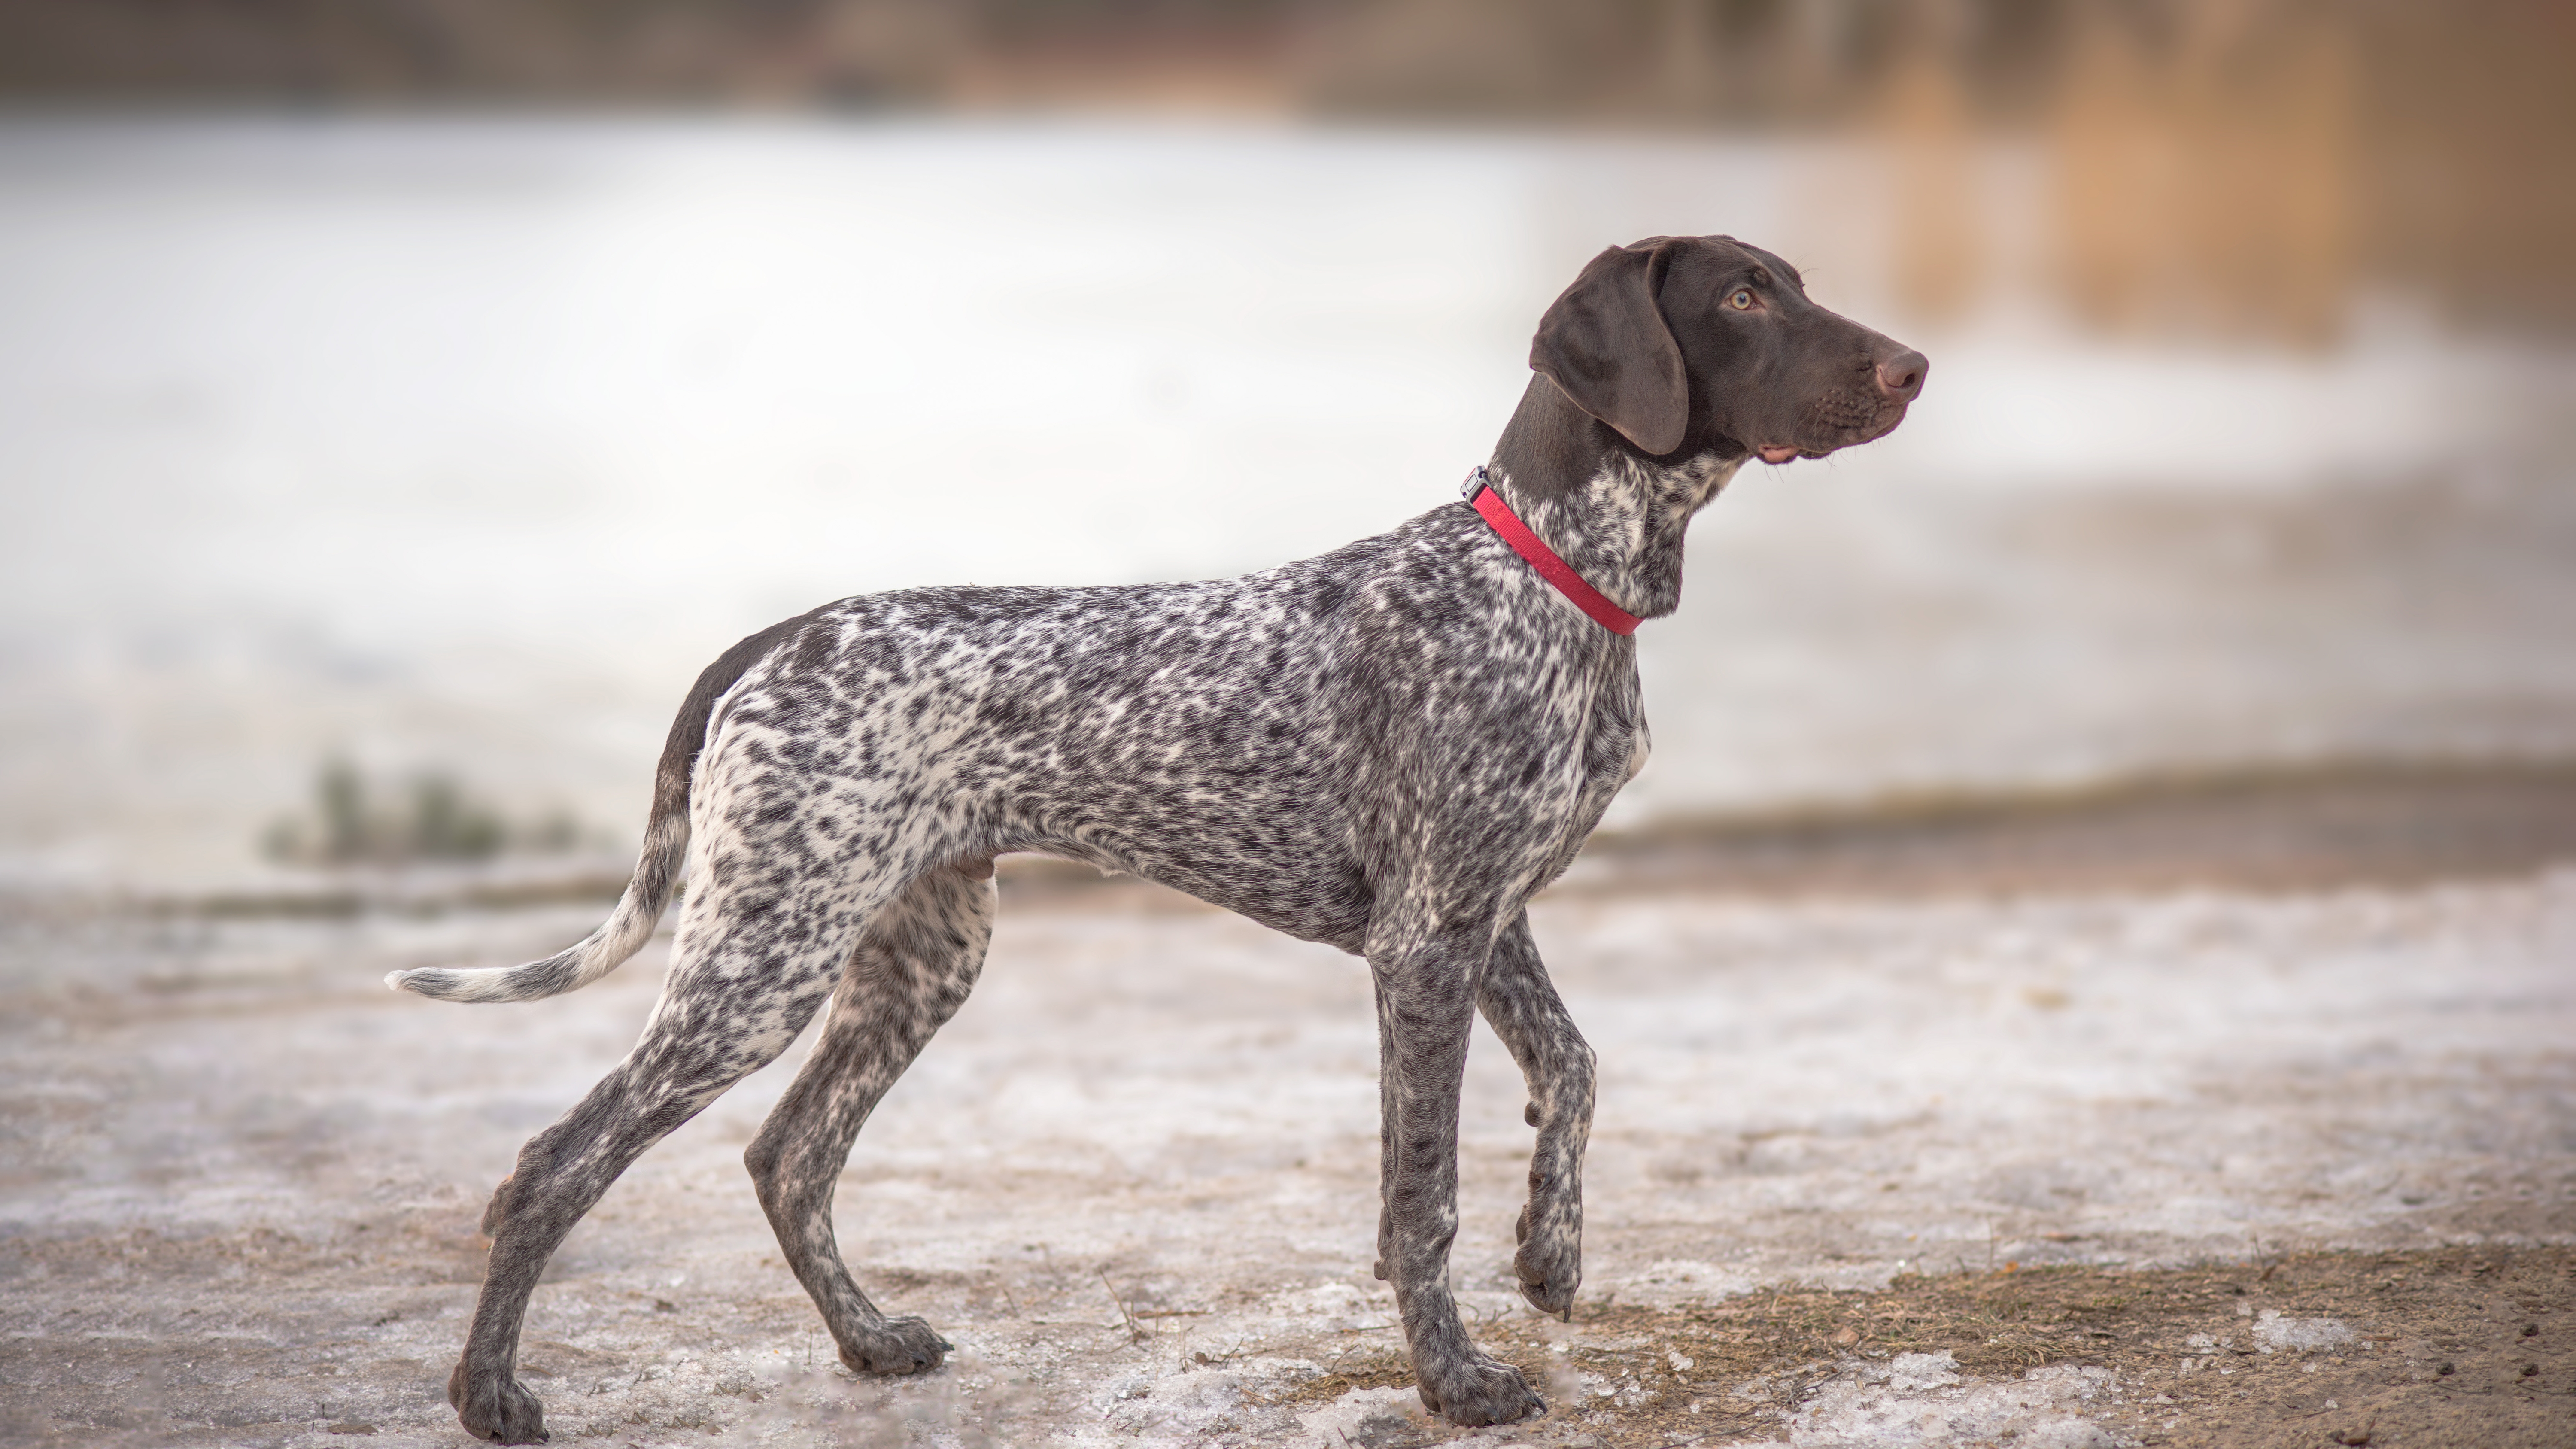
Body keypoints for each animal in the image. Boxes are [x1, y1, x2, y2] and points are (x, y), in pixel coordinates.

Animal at [381, 237, 1917, 1433]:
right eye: (1743, 299)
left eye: (1790, 284)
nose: (1910, 365)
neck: (1546, 572)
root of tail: (777, 638)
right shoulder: (1425, 946)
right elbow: (1419, 1195)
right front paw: (1456, 1379)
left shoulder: (1487, 918)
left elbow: (1576, 1072)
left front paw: (1552, 1254)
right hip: (761, 961)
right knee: (555, 1166)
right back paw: (490, 1397)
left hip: (915, 957)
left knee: (790, 1156)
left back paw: (870, 1340)